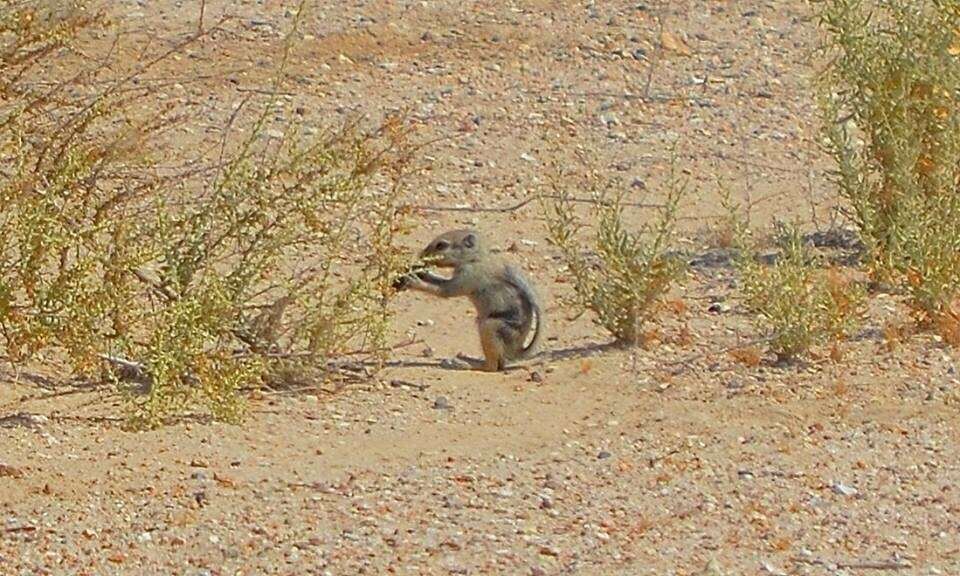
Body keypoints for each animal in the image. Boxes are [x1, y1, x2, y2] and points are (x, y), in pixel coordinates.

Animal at [394, 227, 544, 372]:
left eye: (441, 245)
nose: (422, 255)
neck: (475, 257)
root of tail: (518, 351)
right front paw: (420, 272)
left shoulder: (468, 276)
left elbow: (445, 290)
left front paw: (414, 280)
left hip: (489, 327)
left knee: (492, 367)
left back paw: (465, 364)